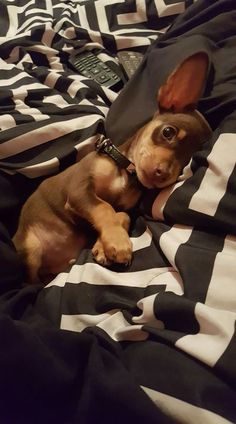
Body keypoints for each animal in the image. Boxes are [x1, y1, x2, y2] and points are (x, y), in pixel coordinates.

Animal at [12, 53, 212, 284]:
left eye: (185, 164)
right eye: (168, 132)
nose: (162, 174)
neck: (125, 170)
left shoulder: (122, 207)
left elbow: (120, 214)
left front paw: (103, 245)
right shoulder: (80, 191)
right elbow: (104, 207)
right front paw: (118, 242)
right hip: (32, 250)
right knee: (32, 281)